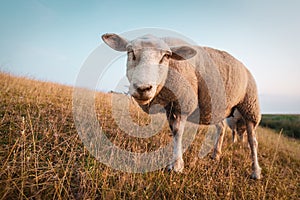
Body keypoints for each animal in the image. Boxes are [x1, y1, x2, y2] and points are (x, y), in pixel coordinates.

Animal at [102, 33, 262, 180]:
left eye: (166, 56)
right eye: (130, 52)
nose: (143, 88)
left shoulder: (184, 103)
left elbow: (178, 132)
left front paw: (176, 166)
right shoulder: (170, 106)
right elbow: (173, 131)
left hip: (249, 106)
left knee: (252, 141)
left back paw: (256, 172)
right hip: (220, 108)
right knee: (221, 128)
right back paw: (216, 155)